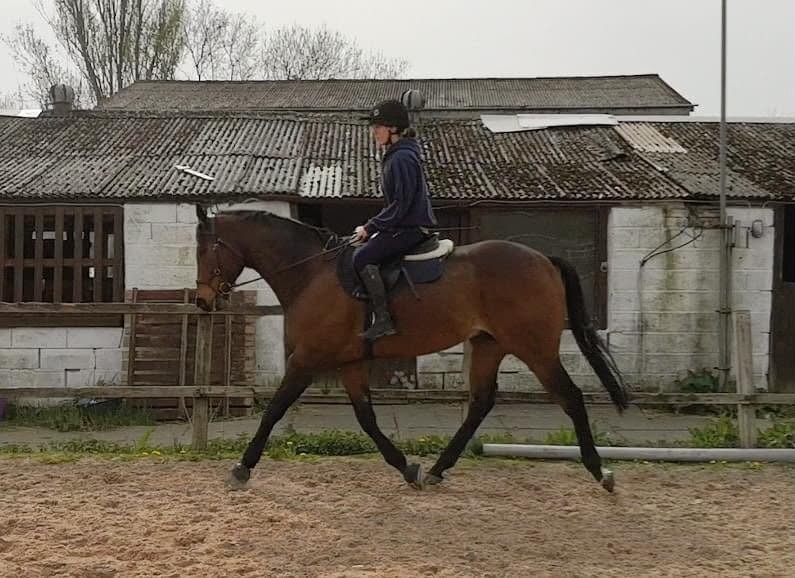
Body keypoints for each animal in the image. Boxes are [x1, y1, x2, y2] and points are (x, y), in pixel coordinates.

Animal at [194, 206, 629, 492]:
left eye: (204, 250)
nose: (201, 301)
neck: (312, 272)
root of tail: (543, 259)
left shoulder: (305, 360)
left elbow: (274, 411)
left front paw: (241, 468)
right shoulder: (351, 363)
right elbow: (367, 420)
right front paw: (407, 468)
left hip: (535, 348)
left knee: (571, 397)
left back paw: (601, 473)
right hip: (489, 345)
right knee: (481, 403)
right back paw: (436, 470)